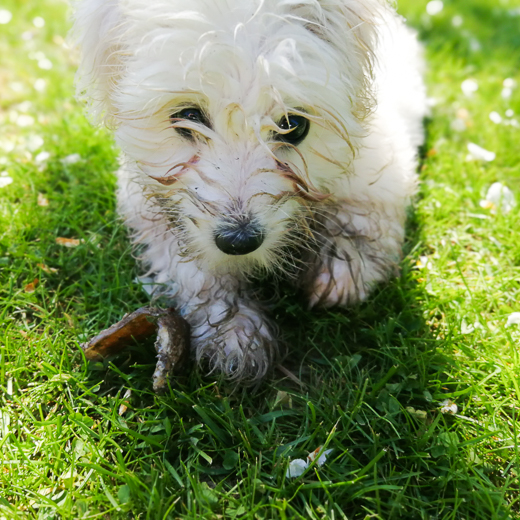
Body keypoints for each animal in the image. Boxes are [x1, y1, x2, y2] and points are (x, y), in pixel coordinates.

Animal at [71, 0, 426, 382]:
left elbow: (366, 211)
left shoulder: (383, 157)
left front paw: (343, 264)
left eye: (293, 125)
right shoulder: (148, 201)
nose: (239, 241)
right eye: (187, 116)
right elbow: (189, 263)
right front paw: (233, 329)